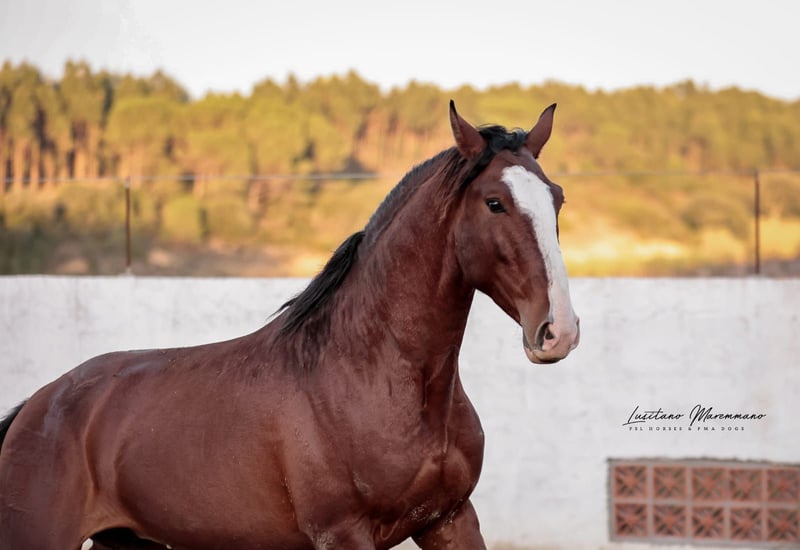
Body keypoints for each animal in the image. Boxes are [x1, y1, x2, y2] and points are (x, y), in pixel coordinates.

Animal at [0, 101, 579, 550]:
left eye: (557, 198)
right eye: (494, 202)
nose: (559, 331)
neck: (373, 376)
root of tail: (35, 407)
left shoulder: (450, 518)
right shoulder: (343, 533)